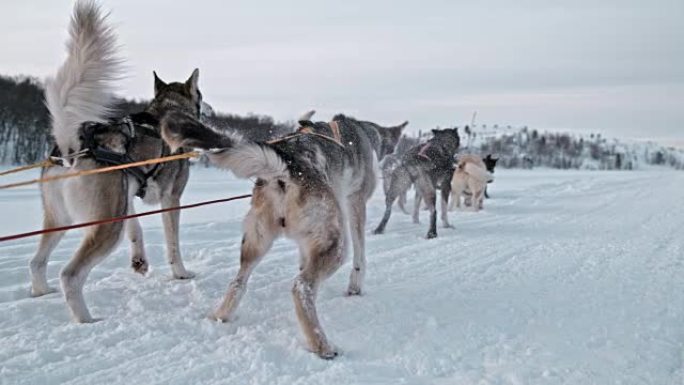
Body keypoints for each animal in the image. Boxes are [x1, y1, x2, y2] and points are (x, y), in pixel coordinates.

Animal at [30, 1, 200, 322]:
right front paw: (181, 273)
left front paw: (139, 262)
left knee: (36, 262)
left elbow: (137, 231)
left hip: (63, 218)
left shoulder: (128, 196)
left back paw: (41, 292)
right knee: (70, 275)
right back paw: (86, 321)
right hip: (108, 226)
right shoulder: (171, 199)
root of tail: (72, 149)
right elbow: (173, 243)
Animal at [160, 112, 404, 358]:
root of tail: (287, 166)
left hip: (255, 243)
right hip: (336, 245)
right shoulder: (355, 204)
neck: (363, 133)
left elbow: (304, 260)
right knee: (301, 287)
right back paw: (322, 345)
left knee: (238, 283)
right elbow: (360, 257)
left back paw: (220, 316)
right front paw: (355, 287)